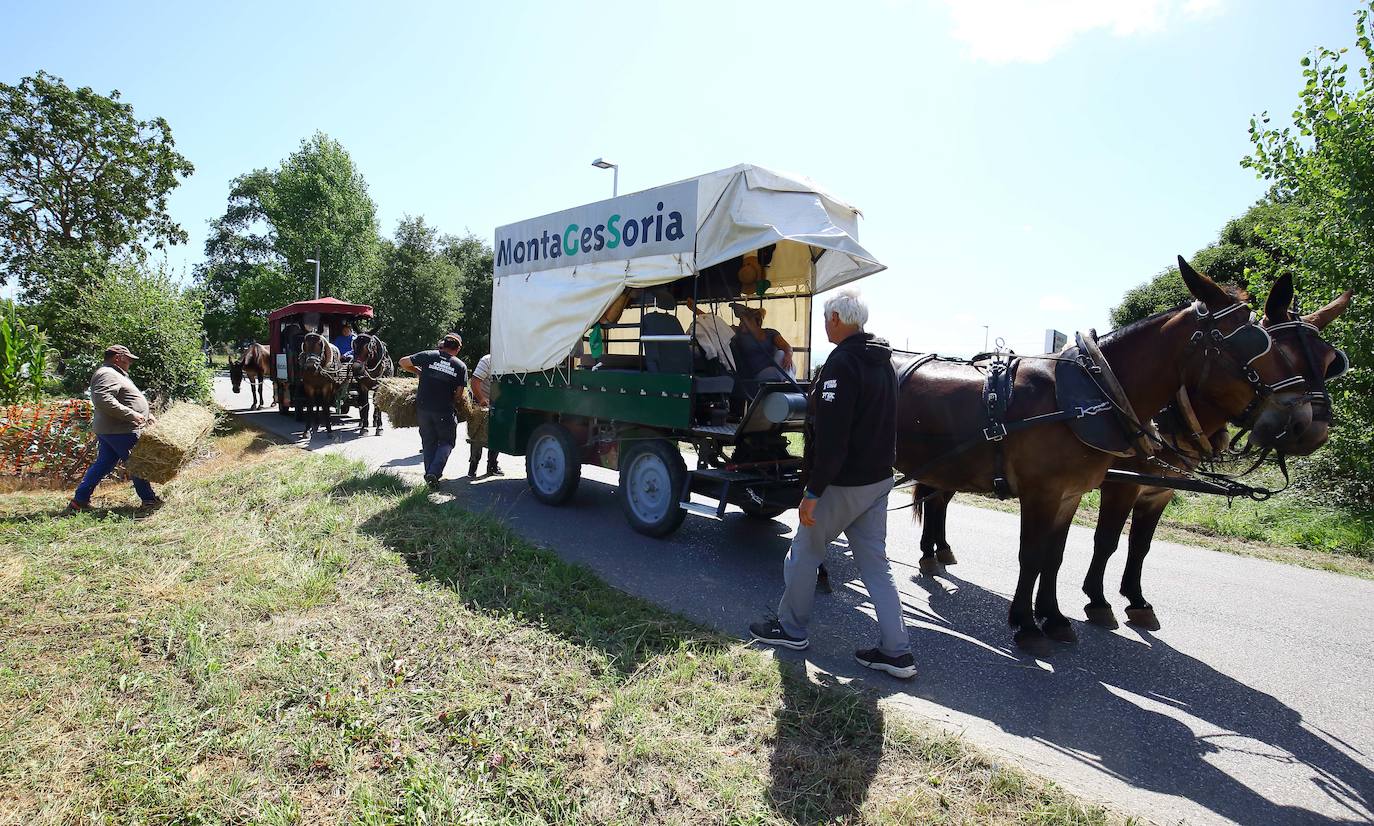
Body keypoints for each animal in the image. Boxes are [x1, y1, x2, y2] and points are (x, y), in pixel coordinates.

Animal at [895, 258, 1302, 651]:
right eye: (1252, 344)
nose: (1299, 419)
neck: (1089, 398)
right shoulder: (1044, 493)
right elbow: (1033, 555)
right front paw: (1027, 624)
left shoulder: (1070, 494)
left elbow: (1054, 556)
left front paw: (1054, 617)